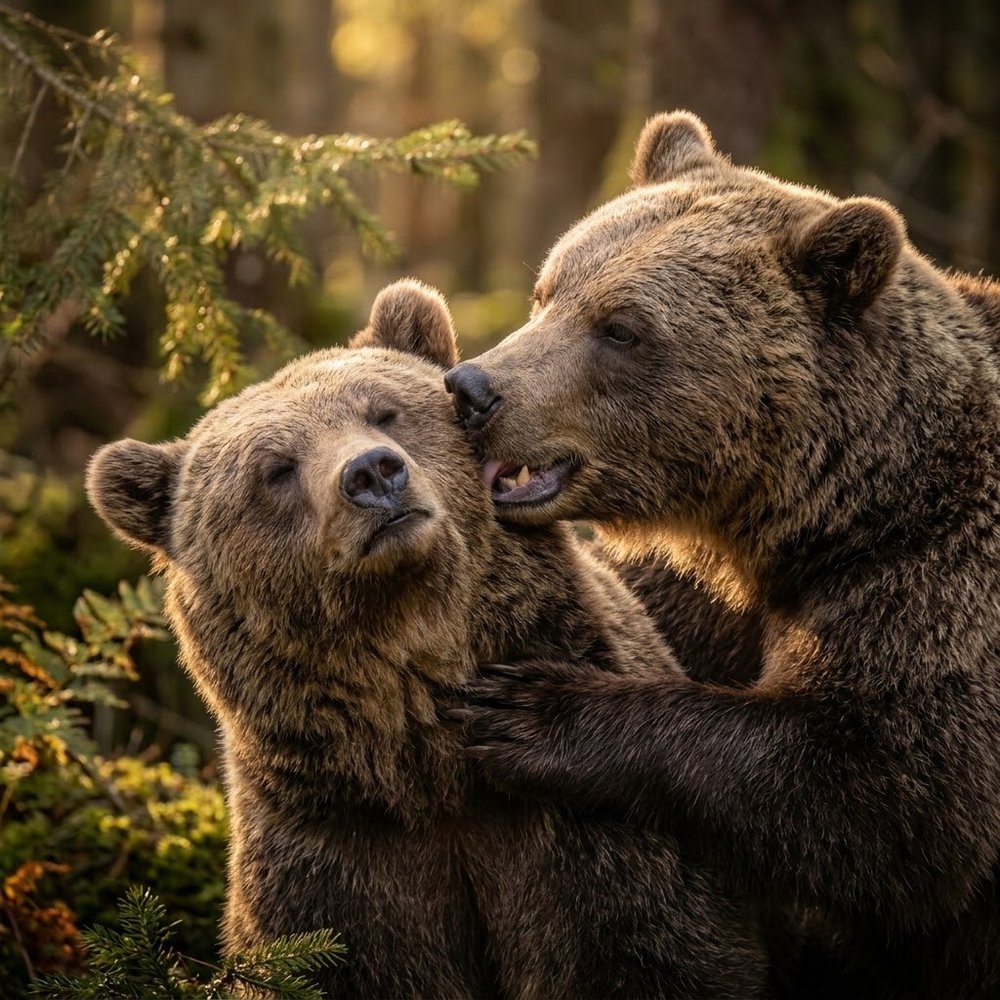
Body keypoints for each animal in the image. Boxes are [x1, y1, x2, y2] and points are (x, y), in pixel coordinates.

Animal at [85, 279, 769, 999]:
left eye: (385, 412)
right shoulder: (339, 860)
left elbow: (642, 945)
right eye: (273, 469)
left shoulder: (587, 842)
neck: (427, 765)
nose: (373, 474)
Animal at [443, 111, 1000, 997]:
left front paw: (527, 707)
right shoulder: (698, 591)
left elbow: (892, 795)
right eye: (548, 289)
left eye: (622, 328)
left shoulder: (931, 577)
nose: (472, 389)